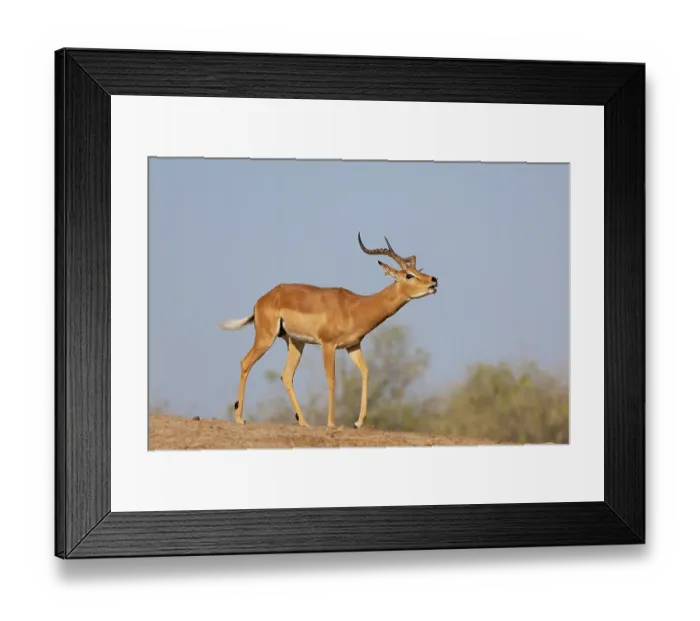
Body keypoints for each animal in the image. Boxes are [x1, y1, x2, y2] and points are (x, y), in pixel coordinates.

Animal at [219, 233, 438, 429]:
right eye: (409, 275)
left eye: (418, 270)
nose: (434, 280)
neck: (355, 307)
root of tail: (263, 299)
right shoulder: (328, 345)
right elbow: (332, 380)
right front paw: (332, 423)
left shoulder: (353, 346)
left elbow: (366, 371)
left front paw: (358, 422)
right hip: (266, 338)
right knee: (246, 362)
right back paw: (239, 418)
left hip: (296, 342)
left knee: (286, 375)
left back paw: (304, 422)